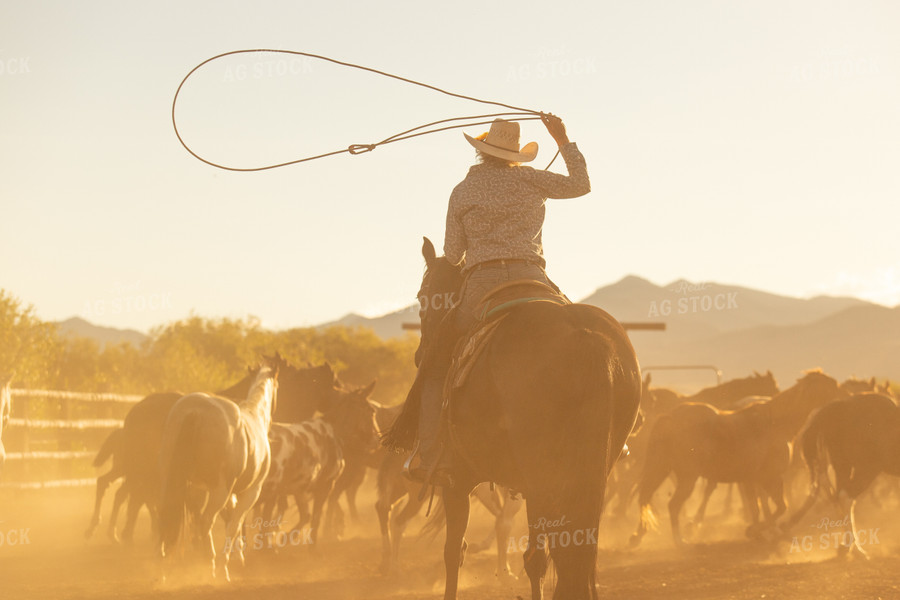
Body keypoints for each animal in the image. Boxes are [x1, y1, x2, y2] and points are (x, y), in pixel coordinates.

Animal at [158, 356, 278, 580]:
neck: (254, 414)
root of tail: (195, 410)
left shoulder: (212, 491)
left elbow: (231, 521)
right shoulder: (251, 492)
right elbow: (234, 524)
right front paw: (228, 563)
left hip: (171, 482)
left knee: (166, 515)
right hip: (219, 491)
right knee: (206, 521)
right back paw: (213, 566)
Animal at [382, 239, 640, 600]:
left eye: (423, 295)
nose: (421, 354)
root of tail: (585, 337)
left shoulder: (456, 480)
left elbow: (453, 552)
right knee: (570, 551)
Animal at [632, 368, 844, 548]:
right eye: (832, 386)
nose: (843, 402)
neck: (776, 423)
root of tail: (669, 416)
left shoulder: (752, 480)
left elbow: (759, 507)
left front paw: (762, 533)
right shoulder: (770, 478)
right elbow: (779, 507)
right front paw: (757, 530)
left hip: (663, 469)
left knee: (649, 499)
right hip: (687, 477)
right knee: (673, 505)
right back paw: (681, 541)